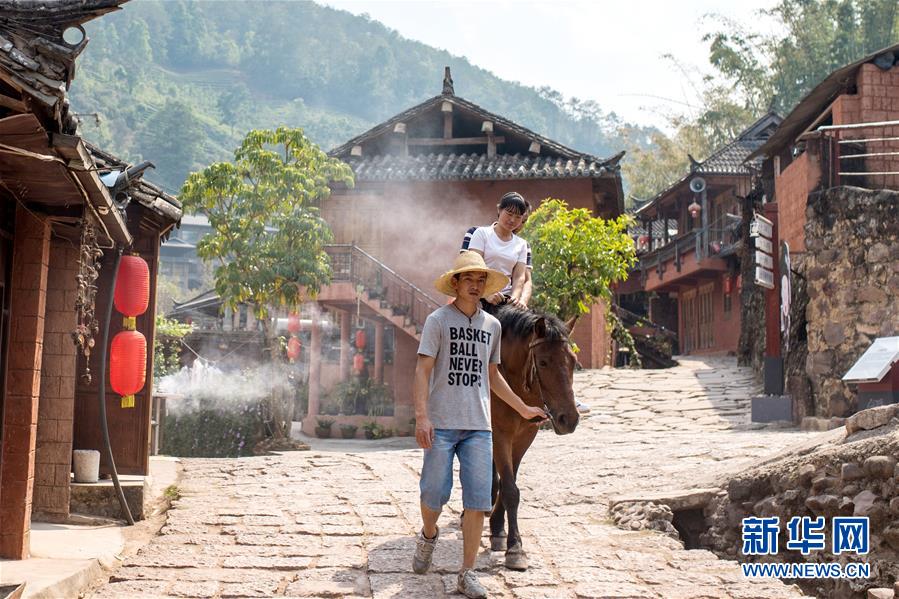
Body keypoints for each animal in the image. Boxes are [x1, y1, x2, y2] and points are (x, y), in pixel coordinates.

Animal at [488, 304, 580, 572]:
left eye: (573, 362)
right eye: (543, 361)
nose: (569, 419)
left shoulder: (525, 435)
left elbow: (511, 482)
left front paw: (500, 531)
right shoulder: (500, 433)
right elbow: (510, 489)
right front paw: (515, 548)